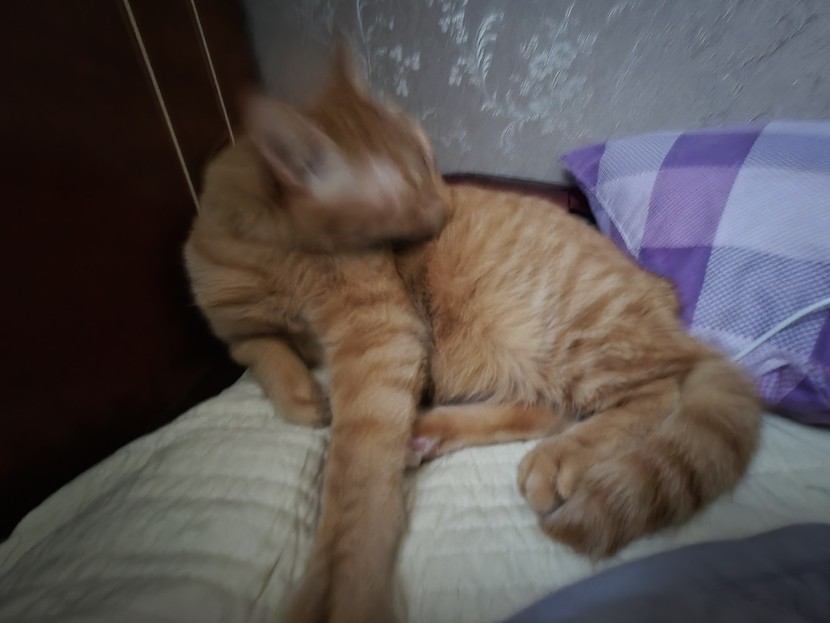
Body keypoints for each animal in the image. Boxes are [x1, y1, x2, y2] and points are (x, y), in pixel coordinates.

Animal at [184, 49, 448, 623]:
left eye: (433, 160)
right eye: (411, 186)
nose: (446, 207)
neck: (277, 262)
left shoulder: (380, 334)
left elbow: (357, 474)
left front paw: (345, 579)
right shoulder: (236, 331)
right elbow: (264, 350)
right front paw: (302, 396)